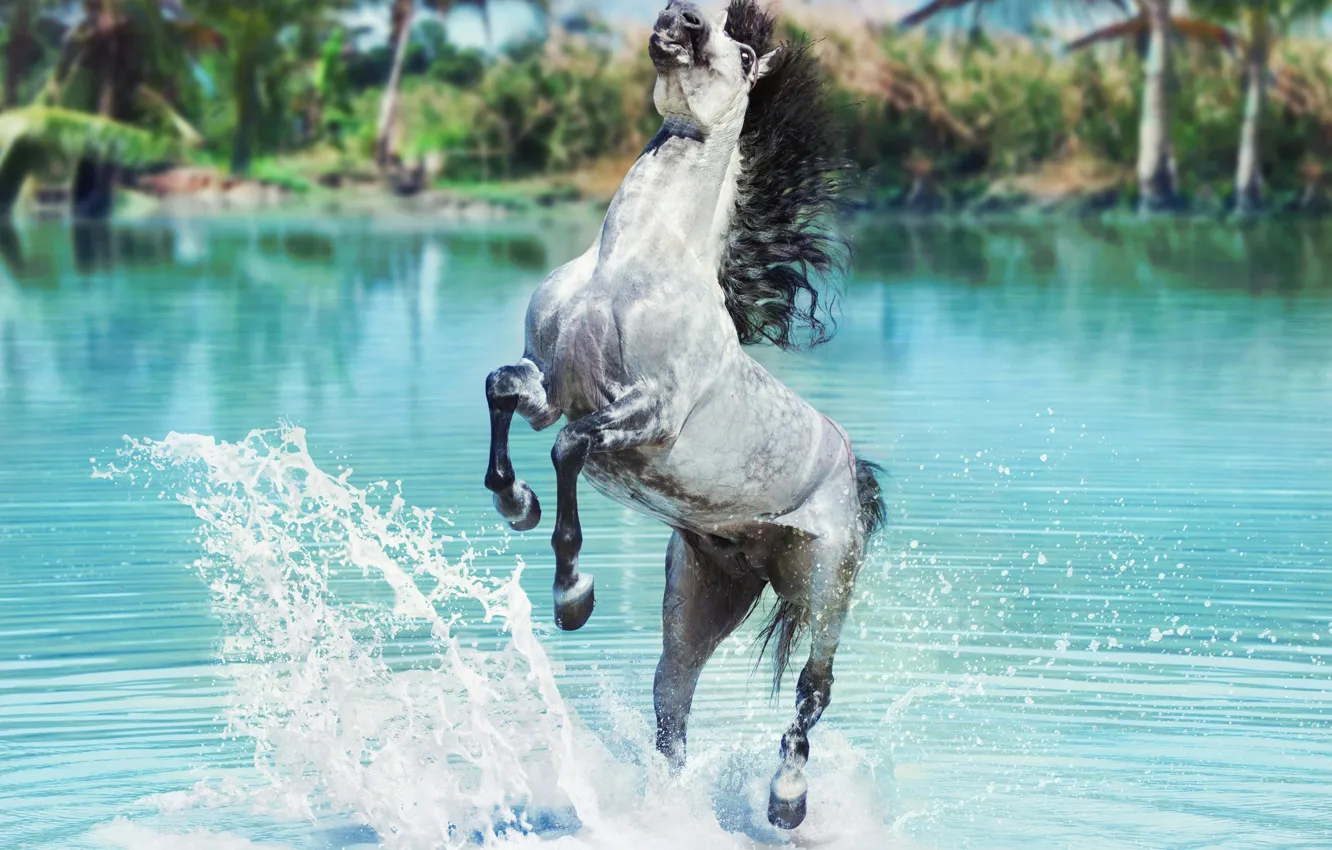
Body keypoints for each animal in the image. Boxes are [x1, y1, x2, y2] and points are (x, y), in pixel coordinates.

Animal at [482, 0, 885, 830]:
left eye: (741, 50)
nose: (680, 21)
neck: (629, 265)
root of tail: (854, 466)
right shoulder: (549, 383)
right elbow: (501, 389)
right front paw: (516, 504)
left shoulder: (646, 415)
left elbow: (570, 449)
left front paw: (573, 594)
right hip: (701, 594)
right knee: (674, 700)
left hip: (827, 584)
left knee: (814, 687)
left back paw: (786, 801)